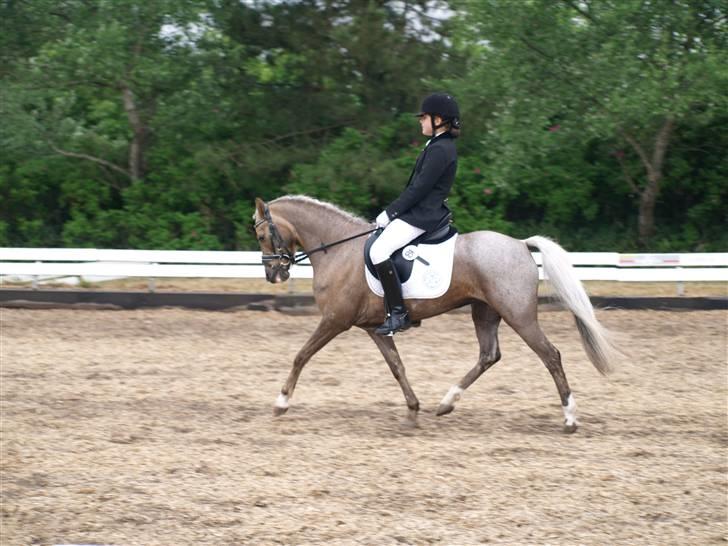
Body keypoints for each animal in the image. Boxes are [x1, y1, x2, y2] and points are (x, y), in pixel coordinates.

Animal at [252, 195, 619, 432]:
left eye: (261, 234)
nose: (274, 275)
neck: (338, 249)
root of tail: (519, 244)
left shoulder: (334, 321)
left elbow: (301, 355)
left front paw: (281, 402)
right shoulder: (372, 327)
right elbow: (397, 367)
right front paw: (413, 411)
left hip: (519, 315)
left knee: (550, 355)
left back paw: (570, 418)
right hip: (485, 312)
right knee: (489, 355)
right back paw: (446, 403)